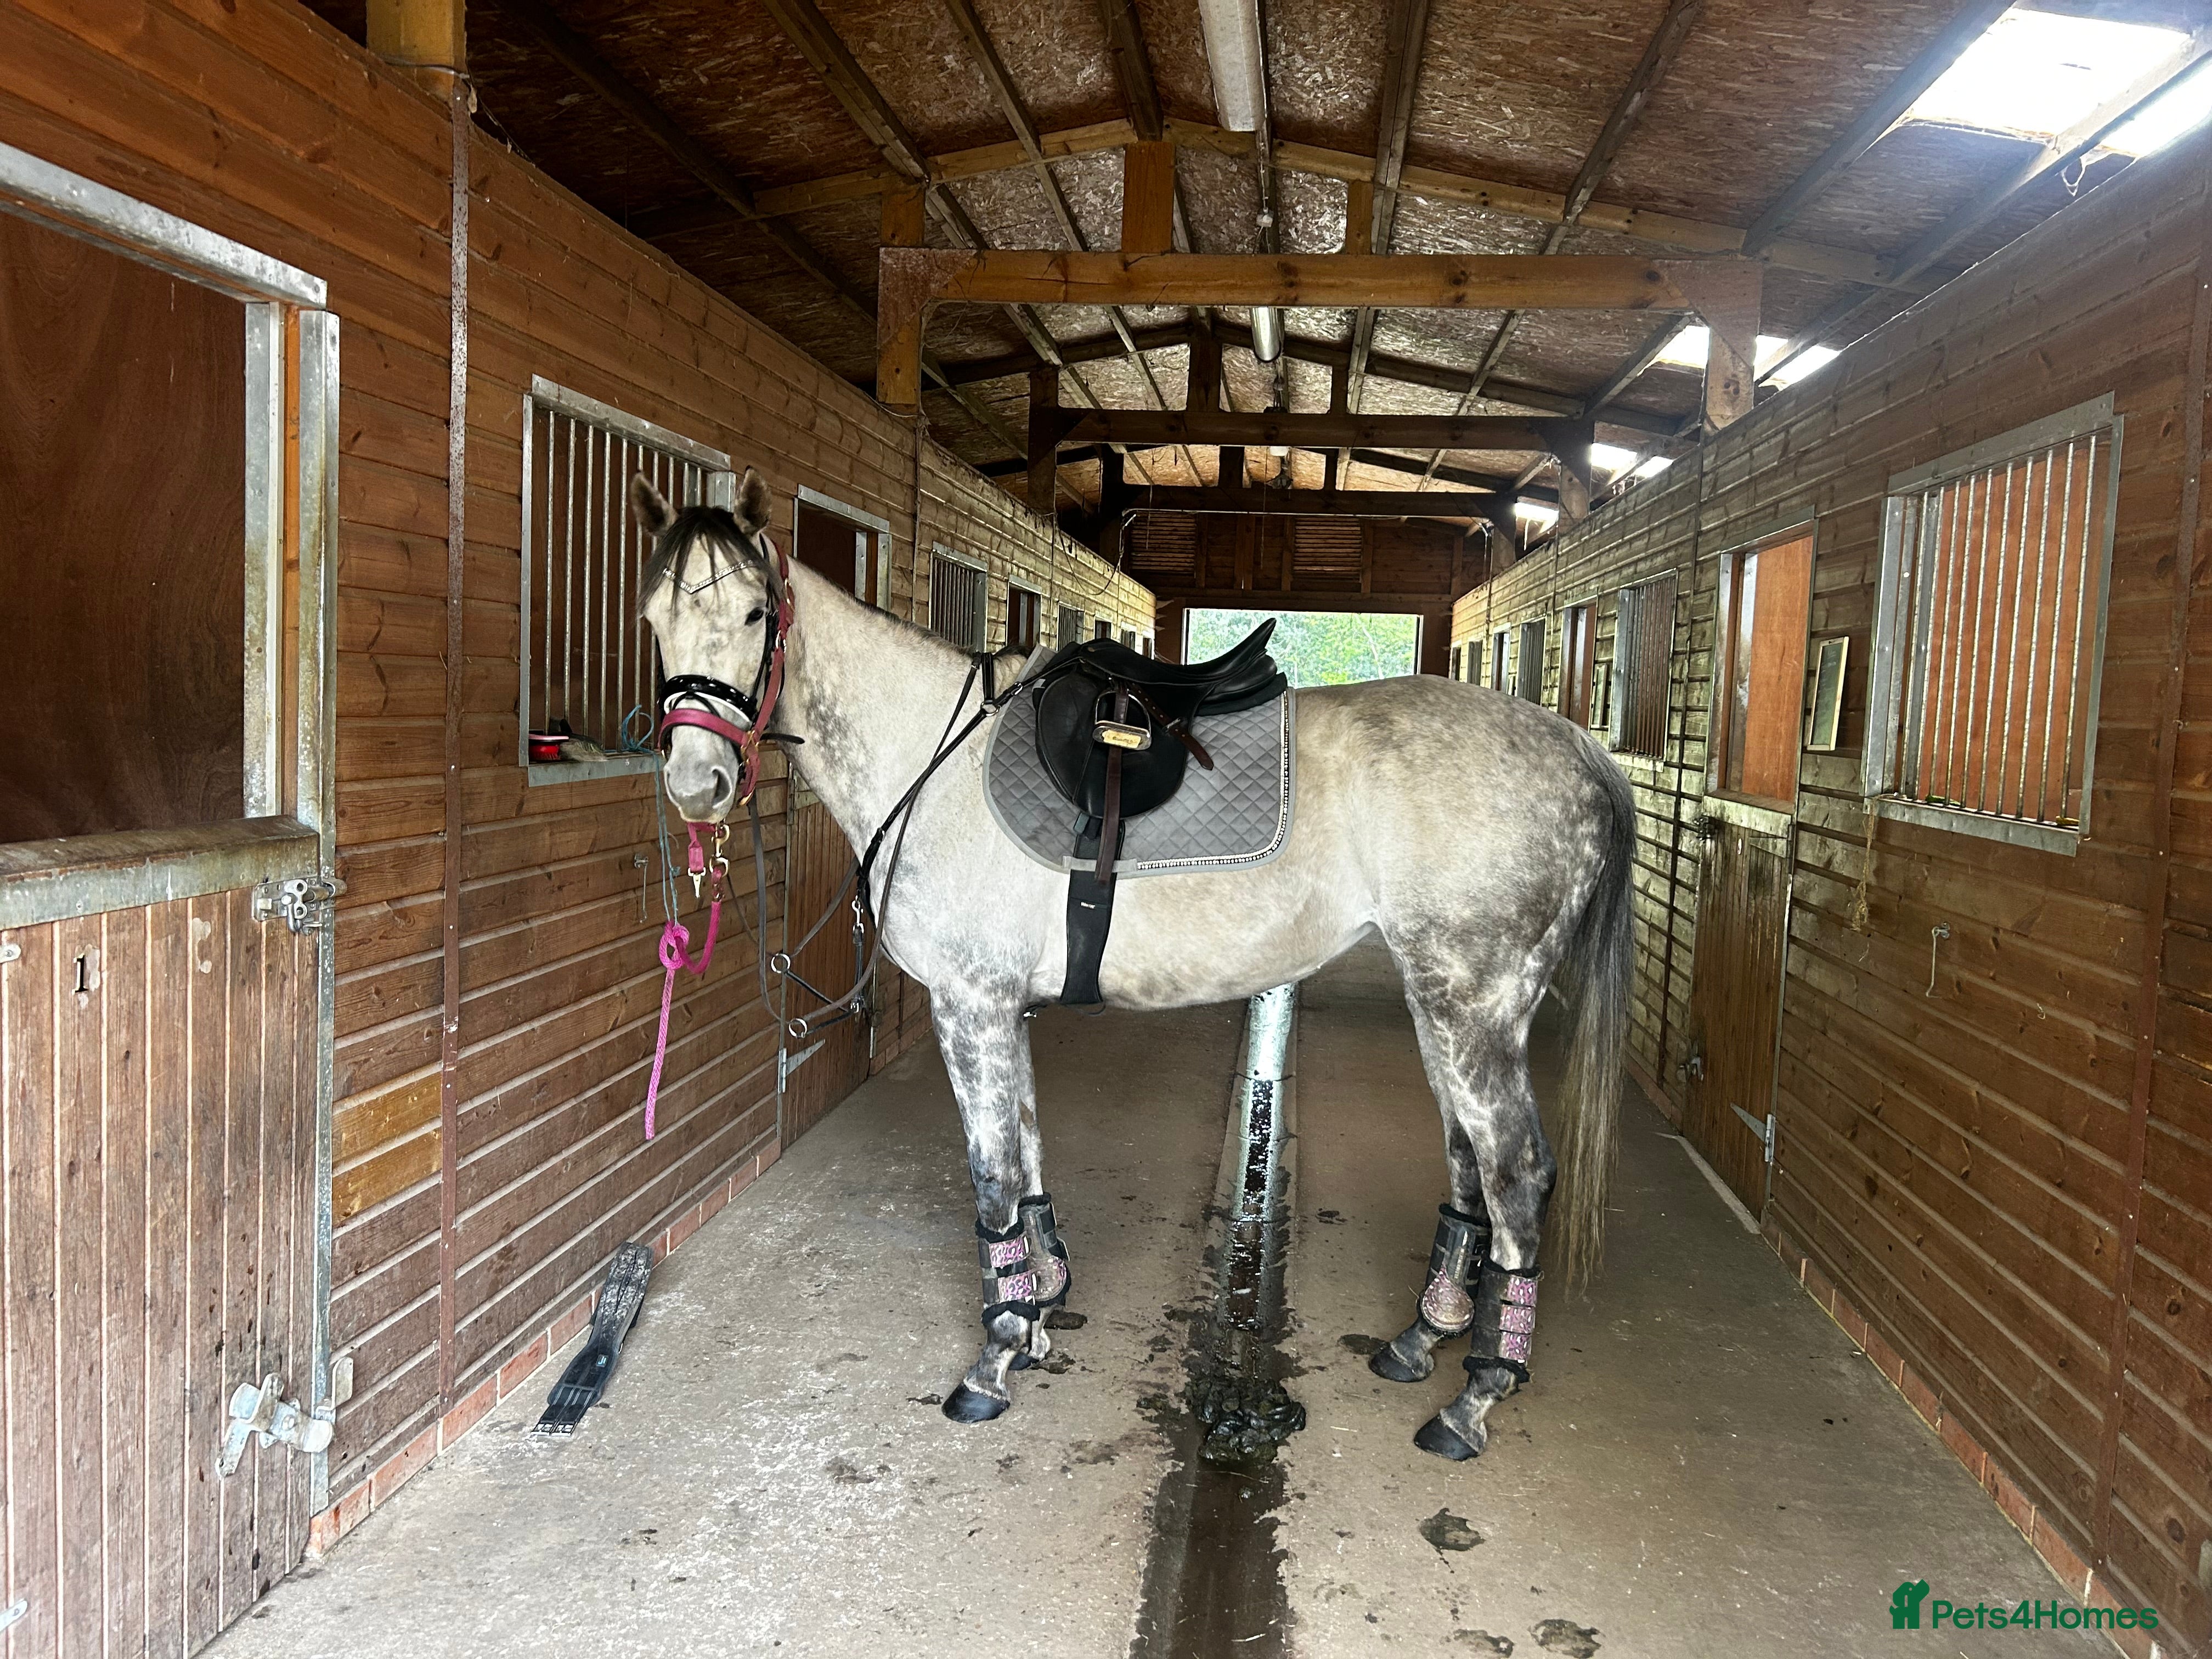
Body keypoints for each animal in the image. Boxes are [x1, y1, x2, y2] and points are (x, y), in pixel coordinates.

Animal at [630, 468, 1636, 1461]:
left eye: (756, 613)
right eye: (652, 618)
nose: (696, 784)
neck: (931, 757)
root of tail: (1578, 746)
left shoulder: (969, 1005)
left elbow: (991, 1175)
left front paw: (994, 1358)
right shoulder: (1002, 1010)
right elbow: (1027, 1149)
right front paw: (1036, 1311)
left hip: (1473, 1006)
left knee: (1516, 1173)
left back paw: (1475, 1398)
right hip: (1447, 1006)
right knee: (1470, 1160)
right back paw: (1424, 1336)